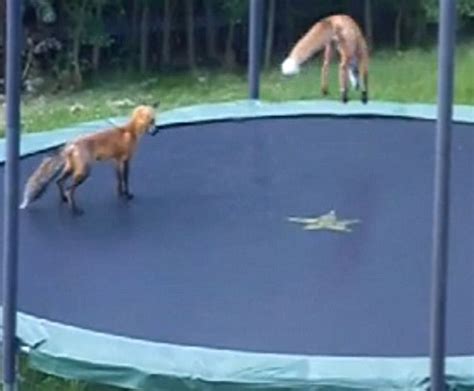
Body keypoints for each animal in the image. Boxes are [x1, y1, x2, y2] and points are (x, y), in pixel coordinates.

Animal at [19, 102, 159, 216]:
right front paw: (127, 195)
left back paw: (63, 200)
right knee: (69, 190)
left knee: (59, 182)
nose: (157, 131)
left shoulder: (116, 161)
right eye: (152, 121)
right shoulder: (126, 160)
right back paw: (75, 211)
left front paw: (120, 195)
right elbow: (126, 180)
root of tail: (71, 144)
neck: (130, 131)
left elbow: (119, 181)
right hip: (84, 172)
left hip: (72, 169)